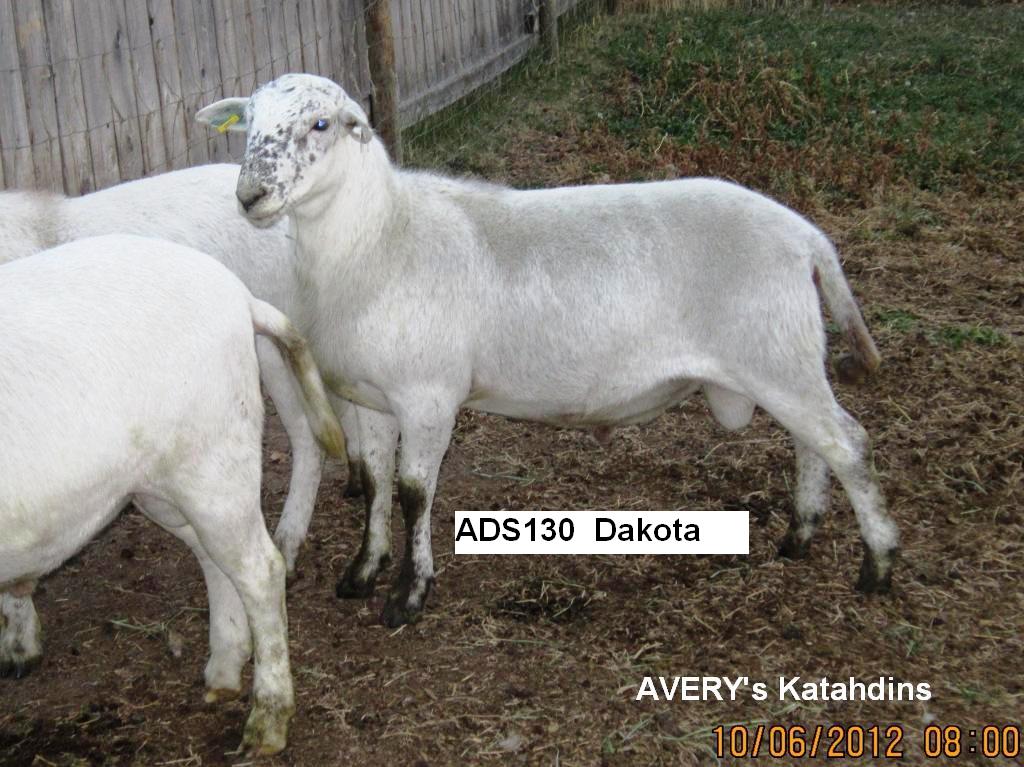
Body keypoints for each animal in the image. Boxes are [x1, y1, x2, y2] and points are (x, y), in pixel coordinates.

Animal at [0, 234, 346, 755]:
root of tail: (240, 296)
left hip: (214, 462)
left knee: (260, 571)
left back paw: (267, 719)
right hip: (165, 482)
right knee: (213, 558)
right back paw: (224, 670)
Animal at [197, 73, 899, 628]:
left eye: (321, 124)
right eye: (247, 123)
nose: (250, 197)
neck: (379, 239)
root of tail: (806, 236)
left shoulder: (429, 396)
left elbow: (413, 493)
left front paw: (409, 595)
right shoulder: (369, 397)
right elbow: (373, 484)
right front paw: (362, 572)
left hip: (774, 353)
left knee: (849, 444)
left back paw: (879, 564)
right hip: (781, 356)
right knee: (813, 445)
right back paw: (801, 534)